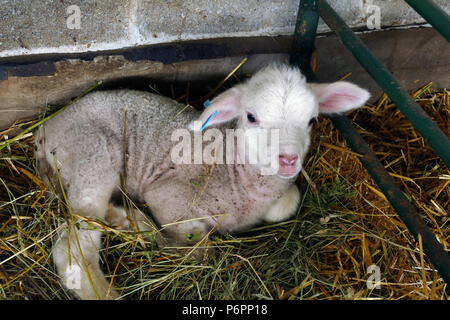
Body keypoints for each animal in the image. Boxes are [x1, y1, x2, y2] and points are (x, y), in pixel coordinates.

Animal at [36, 63, 370, 300]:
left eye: (312, 120)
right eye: (251, 117)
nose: (288, 160)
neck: (232, 165)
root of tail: (45, 128)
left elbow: (287, 203)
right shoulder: (168, 196)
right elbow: (200, 250)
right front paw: (165, 241)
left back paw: (129, 221)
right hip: (94, 152)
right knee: (73, 246)